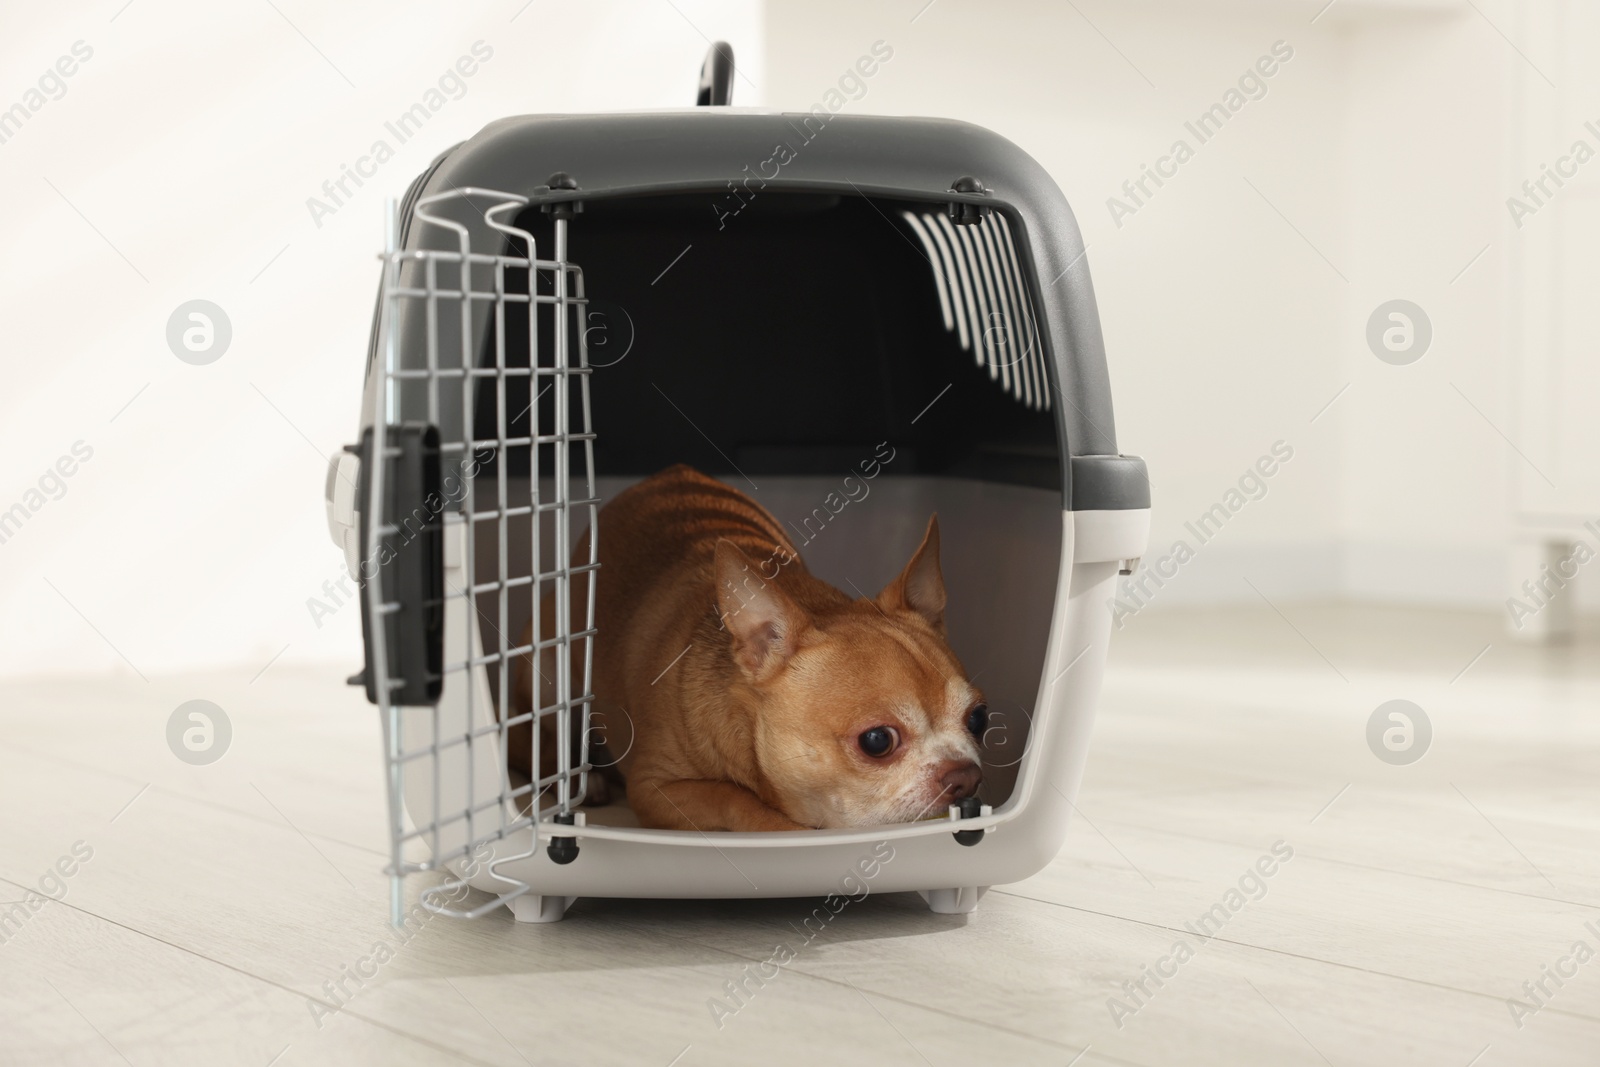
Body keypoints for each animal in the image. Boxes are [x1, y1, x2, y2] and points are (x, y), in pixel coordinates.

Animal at [515, 467, 985, 831]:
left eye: (978, 718)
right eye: (876, 741)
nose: (966, 776)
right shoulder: (652, 788)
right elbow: (731, 795)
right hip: (551, 678)